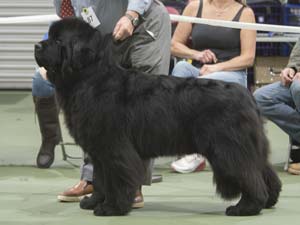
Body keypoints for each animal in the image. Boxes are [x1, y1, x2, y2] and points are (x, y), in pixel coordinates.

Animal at [34, 18, 282, 216]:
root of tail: (246, 95)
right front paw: (93, 201)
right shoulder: (99, 150)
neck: (89, 79)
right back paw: (269, 200)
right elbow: (100, 179)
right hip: (249, 147)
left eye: (58, 41)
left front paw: (112, 208)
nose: (37, 45)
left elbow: (116, 178)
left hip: (229, 150)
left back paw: (246, 207)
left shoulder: (114, 147)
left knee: (249, 176)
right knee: (264, 171)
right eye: (50, 37)